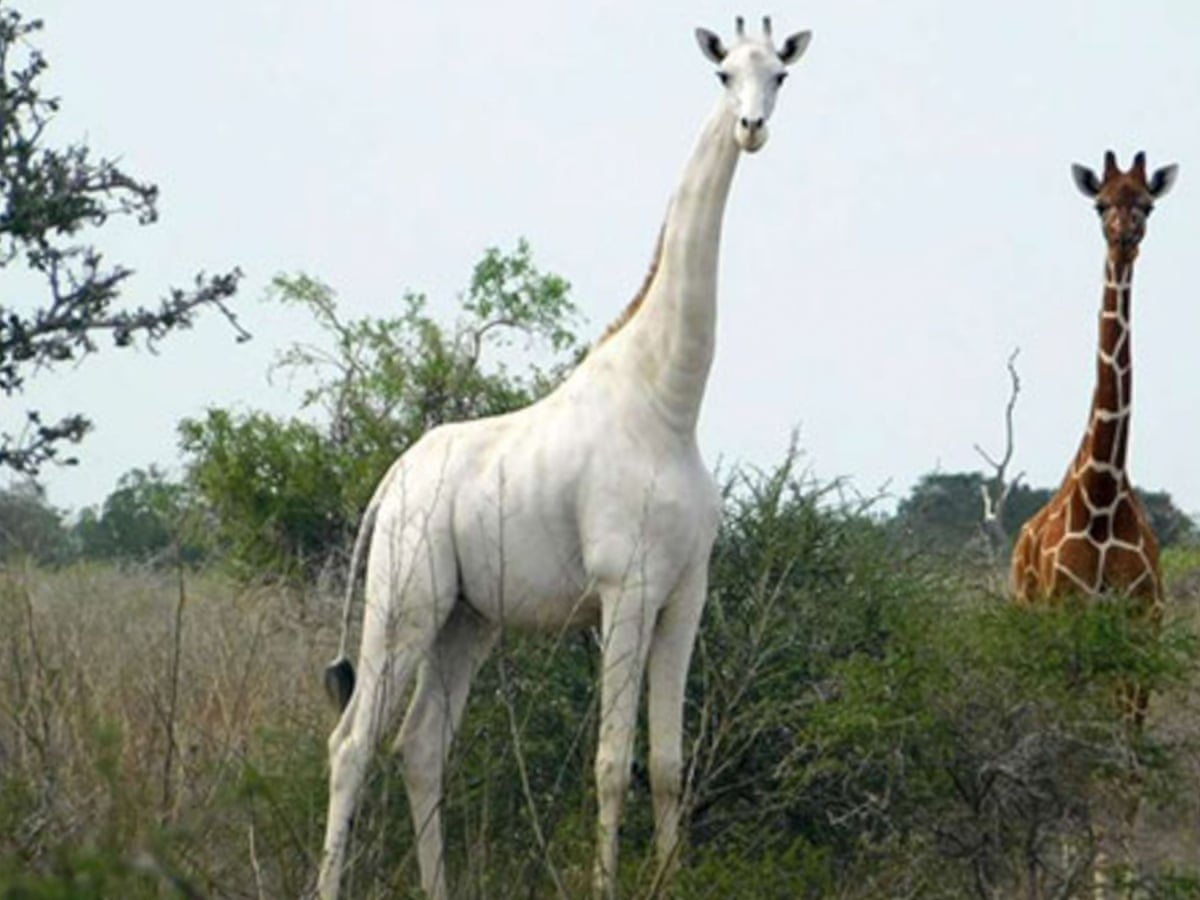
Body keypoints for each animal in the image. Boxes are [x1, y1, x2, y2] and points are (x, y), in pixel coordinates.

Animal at [314, 15, 811, 900]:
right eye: (724, 74)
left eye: (779, 75)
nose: (752, 129)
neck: (669, 404)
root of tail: (390, 482)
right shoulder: (625, 589)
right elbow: (612, 763)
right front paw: (606, 885)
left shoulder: (686, 594)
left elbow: (669, 764)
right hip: (405, 600)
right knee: (352, 744)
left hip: (467, 619)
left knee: (420, 744)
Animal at [1008, 150, 1176, 628]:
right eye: (1100, 204)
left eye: (1147, 206)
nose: (1124, 238)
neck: (1101, 497)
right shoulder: (1064, 607)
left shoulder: (1146, 613)